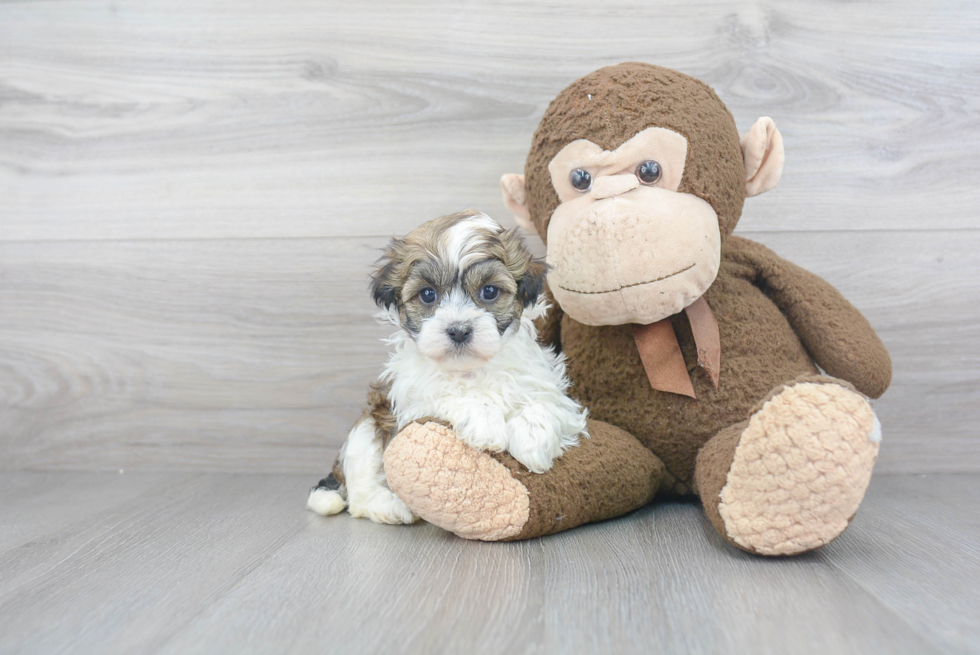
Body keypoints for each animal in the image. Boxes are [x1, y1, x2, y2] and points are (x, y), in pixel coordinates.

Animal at [306, 213, 584, 524]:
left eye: (489, 291)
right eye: (428, 295)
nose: (459, 330)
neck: (471, 368)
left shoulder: (546, 383)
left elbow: (545, 402)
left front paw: (532, 442)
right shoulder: (411, 402)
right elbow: (448, 393)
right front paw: (485, 423)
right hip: (366, 429)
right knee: (360, 493)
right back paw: (392, 506)